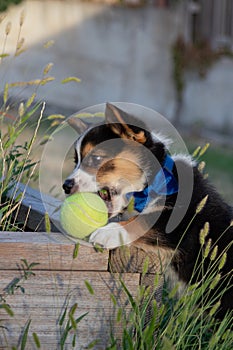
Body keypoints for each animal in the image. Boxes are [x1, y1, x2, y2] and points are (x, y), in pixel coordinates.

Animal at [62, 102, 232, 320]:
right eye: (76, 161)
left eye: (96, 158)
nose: (66, 186)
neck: (152, 182)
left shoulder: (180, 223)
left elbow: (145, 221)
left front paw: (110, 232)